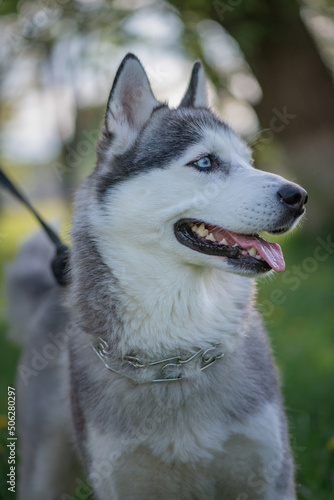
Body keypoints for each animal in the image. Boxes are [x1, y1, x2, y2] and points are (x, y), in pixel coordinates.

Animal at [9, 52, 308, 498]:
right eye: (205, 162)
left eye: (248, 162)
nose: (299, 197)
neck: (178, 352)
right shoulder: (119, 478)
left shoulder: (270, 474)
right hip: (42, 470)